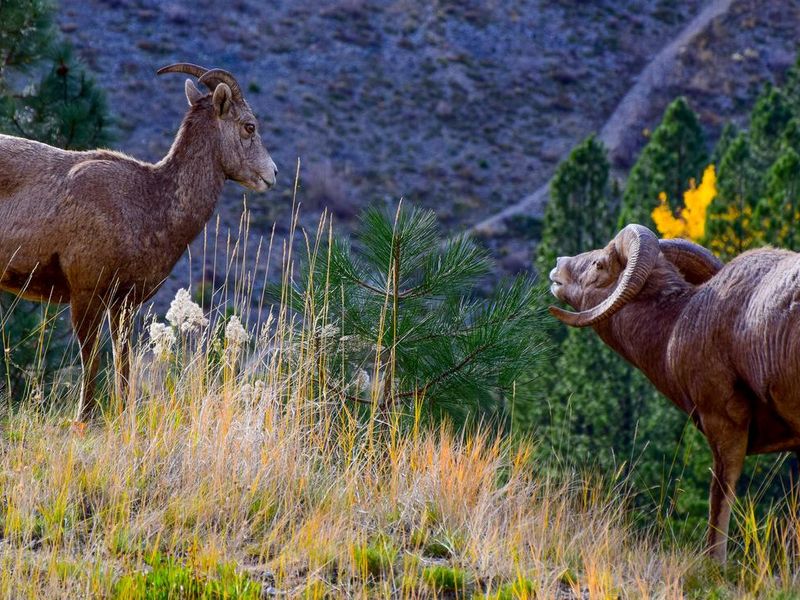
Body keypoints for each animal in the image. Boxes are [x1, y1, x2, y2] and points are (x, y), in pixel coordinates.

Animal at [0, 62, 277, 421]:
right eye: (249, 126)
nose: (272, 174)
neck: (147, 203)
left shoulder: (123, 304)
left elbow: (124, 363)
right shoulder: (86, 295)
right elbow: (92, 361)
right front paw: (83, 419)